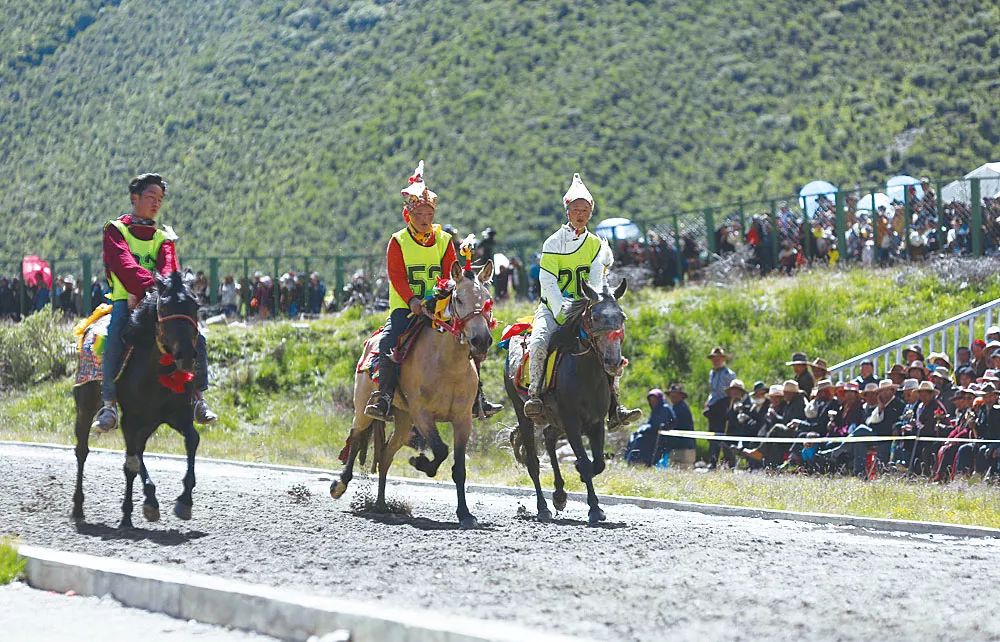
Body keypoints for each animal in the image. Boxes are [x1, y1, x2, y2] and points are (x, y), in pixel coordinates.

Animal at [73, 270, 203, 524]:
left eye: (195, 305)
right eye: (164, 307)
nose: (186, 355)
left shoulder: (177, 414)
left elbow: (192, 440)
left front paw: (184, 500)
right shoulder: (130, 418)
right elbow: (132, 462)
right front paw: (147, 504)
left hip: (148, 423)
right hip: (86, 403)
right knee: (82, 449)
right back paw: (78, 507)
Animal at [334, 258, 494, 524]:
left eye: (487, 298)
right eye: (459, 299)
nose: (481, 340)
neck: (447, 365)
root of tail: (370, 343)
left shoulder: (462, 420)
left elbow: (459, 469)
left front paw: (464, 513)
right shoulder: (422, 414)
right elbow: (440, 449)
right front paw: (421, 463)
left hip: (403, 420)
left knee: (385, 456)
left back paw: (381, 504)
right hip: (364, 408)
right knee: (356, 438)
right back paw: (340, 484)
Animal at [508, 278, 624, 524]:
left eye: (622, 317)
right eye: (595, 317)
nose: (613, 361)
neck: (585, 372)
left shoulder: (596, 422)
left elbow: (598, 463)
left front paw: (579, 476)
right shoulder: (572, 421)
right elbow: (586, 463)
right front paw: (594, 509)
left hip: (555, 419)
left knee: (549, 437)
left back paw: (560, 495)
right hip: (524, 413)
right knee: (533, 462)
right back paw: (543, 508)